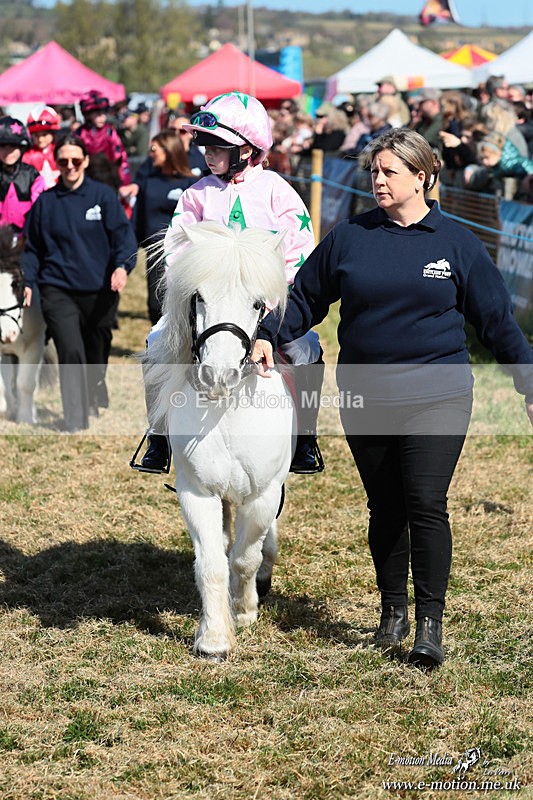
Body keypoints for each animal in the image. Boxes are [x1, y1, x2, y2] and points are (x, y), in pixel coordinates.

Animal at [145, 221, 295, 660]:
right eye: (199, 297)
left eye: (258, 304)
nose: (218, 375)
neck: (226, 412)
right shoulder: (197, 492)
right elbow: (212, 561)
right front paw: (213, 638)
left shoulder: (261, 495)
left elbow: (245, 559)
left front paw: (244, 611)